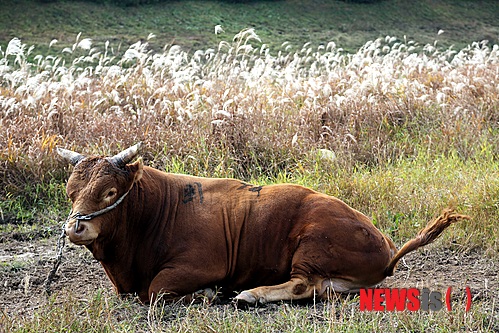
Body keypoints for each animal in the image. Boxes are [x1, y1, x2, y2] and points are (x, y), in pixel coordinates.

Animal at [56, 143, 470, 304]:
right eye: (70, 191)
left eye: (109, 192)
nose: (76, 228)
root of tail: (384, 243)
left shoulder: (200, 264)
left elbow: (157, 291)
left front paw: (208, 293)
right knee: (319, 289)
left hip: (312, 242)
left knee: (302, 285)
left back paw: (250, 294)